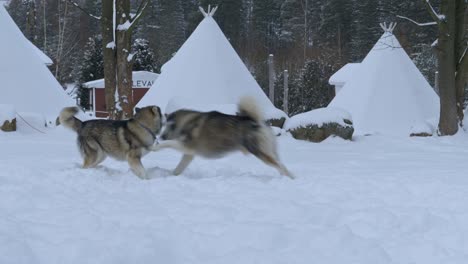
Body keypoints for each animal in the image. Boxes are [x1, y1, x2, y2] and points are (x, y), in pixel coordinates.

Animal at [154, 97, 292, 179]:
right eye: (163, 126)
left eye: (167, 126)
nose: (161, 136)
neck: (186, 121)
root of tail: (256, 122)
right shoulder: (189, 154)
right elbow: (179, 168)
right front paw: (172, 175)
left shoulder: (186, 146)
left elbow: (169, 143)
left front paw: (157, 147)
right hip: (270, 151)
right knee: (281, 165)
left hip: (260, 152)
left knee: (280, 165)